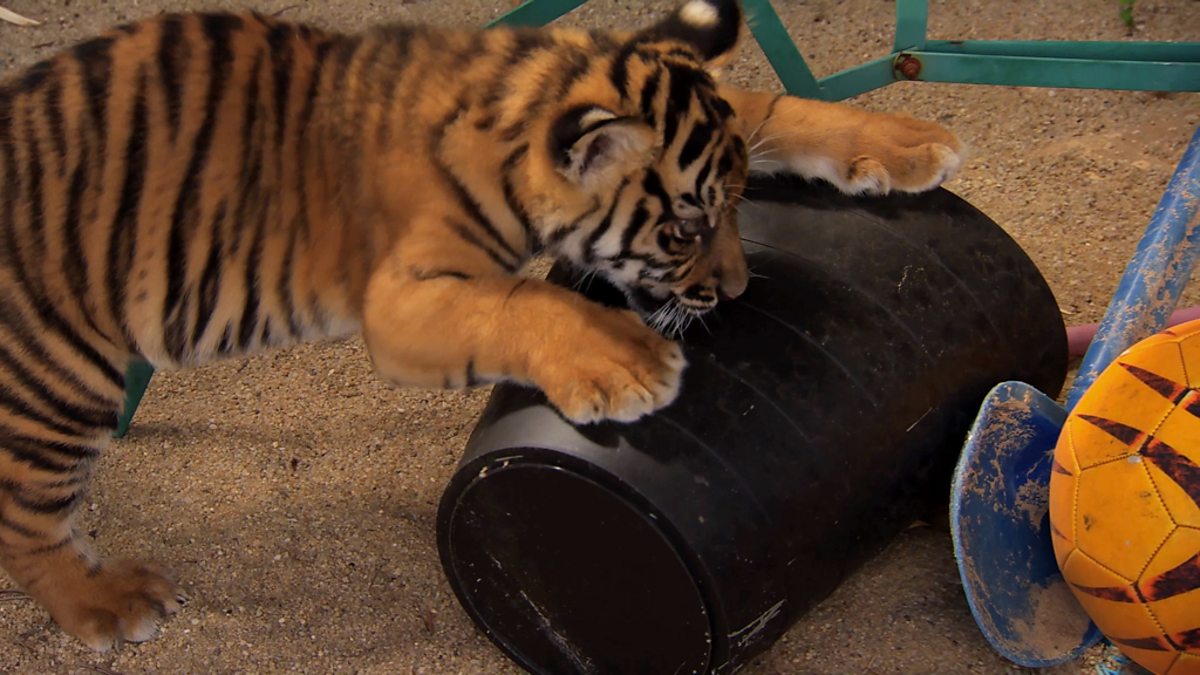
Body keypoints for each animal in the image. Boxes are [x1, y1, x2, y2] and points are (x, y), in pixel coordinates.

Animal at [0, 0, 963, 650]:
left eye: (732, 209)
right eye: (685, 231)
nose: (733, 288)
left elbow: (765, 105)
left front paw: (906, 140)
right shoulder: (403, 298)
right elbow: (527, 301)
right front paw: (629, 360)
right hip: (58, 376)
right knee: (26, 517)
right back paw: (109, 604)